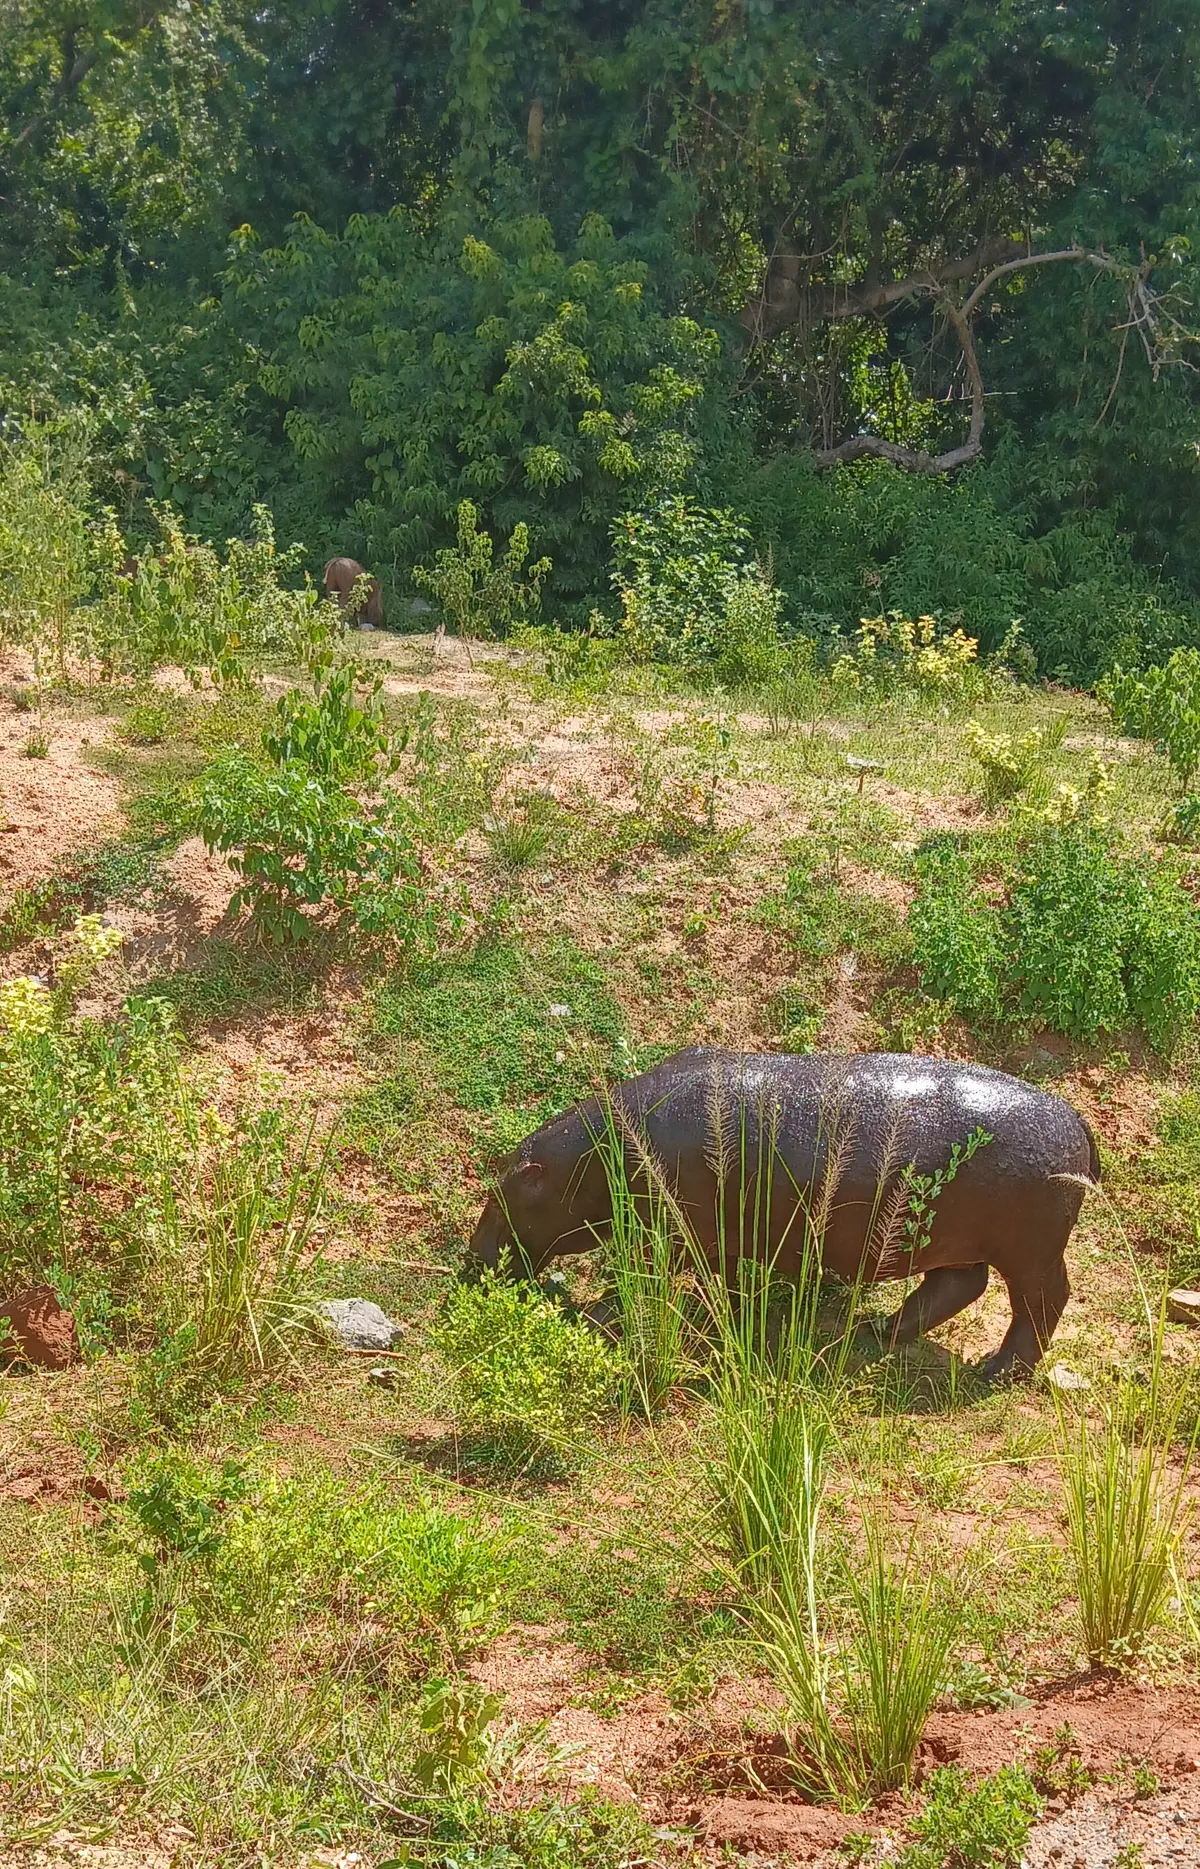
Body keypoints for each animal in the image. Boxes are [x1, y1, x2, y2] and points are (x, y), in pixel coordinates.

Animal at [467, 1048, 1100, 1380]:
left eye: (505, 1193)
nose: (469, 1263)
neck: (591, 1157)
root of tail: (1077, 1120)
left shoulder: (668, 1230)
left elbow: (638, 1276)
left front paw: (595, 1319)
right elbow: (724, 1277)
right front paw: (735, 1312)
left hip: (1031, 1252)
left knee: (1041, 1302)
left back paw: (996, 1371)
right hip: (955, 1241)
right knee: (958, 1285)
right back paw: (875, 1332)